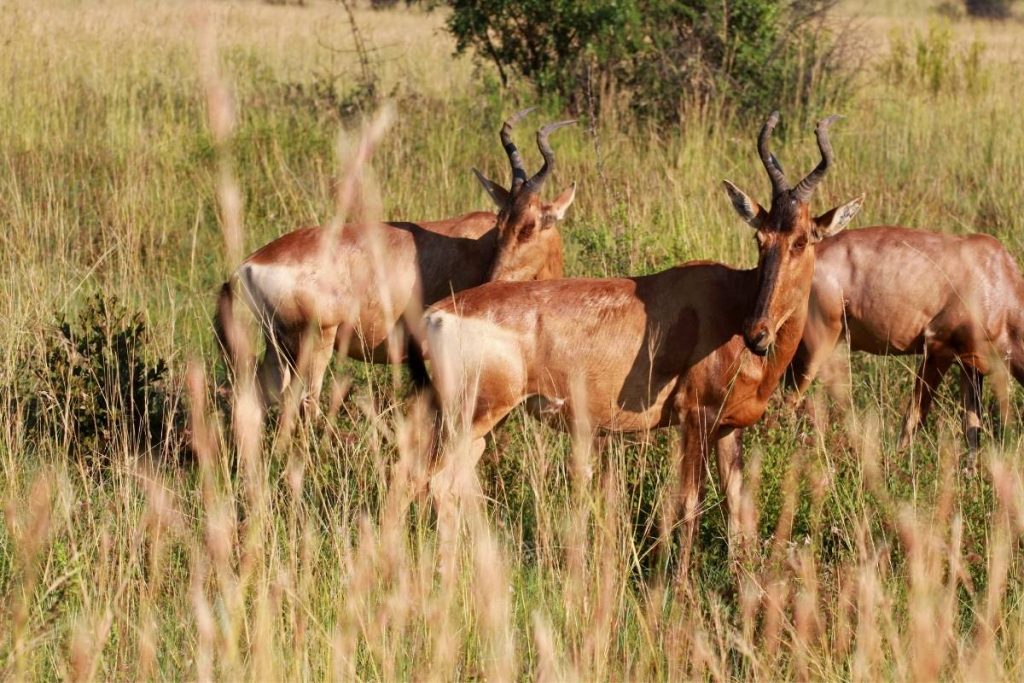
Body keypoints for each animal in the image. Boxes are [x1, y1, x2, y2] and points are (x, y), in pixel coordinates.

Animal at [215, 111, 577, 411]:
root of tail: (248, 265)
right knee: (304, 402)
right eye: (501, 222)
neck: (477, 243)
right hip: (315, 340)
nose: (492, 282)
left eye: (527, 225)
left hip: (276, 346)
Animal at [415, 112, 864, 561]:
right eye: (761, 238)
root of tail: (438, 313)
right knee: (432, 481)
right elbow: (689, 506)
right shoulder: (694, 418)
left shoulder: (727, 428)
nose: (758, 333)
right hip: (474, 415)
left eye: (801, 240)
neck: (732, 298)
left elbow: (739, 514)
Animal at [782, 225, 1024, 454]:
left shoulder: (971, 366)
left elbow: (972, 429)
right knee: (789, 396)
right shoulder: (937, 348)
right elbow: (914, 417)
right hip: (817, 344)